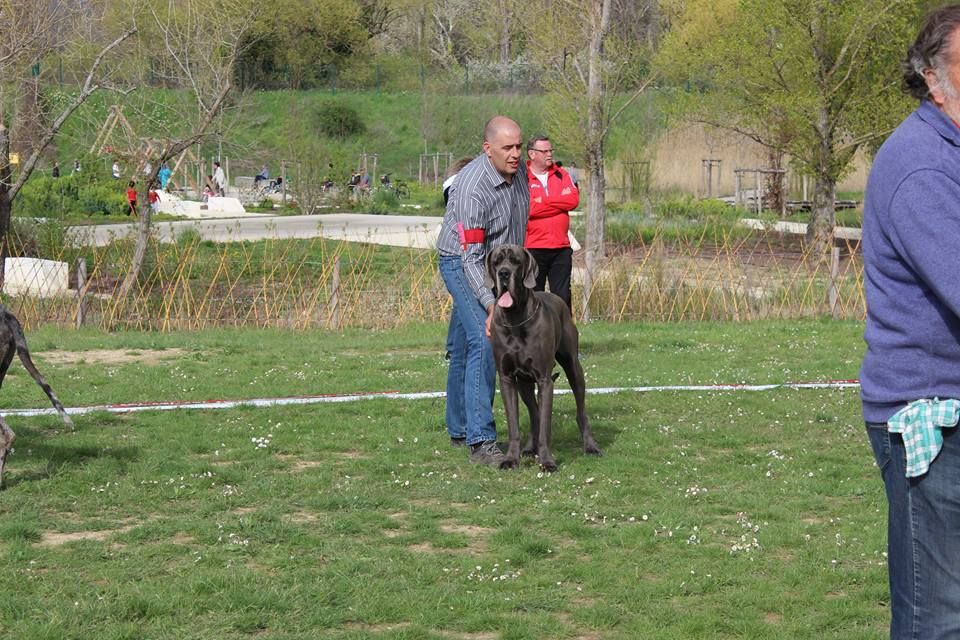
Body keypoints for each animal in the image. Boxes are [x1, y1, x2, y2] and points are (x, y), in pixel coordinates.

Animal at [484, 244, 601, 471]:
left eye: (516, 261)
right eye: (496, 262)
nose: (504, 273)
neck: (516, 318)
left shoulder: (545, 379)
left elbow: (546, 425)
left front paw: (547, 461)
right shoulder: (507, 379)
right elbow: (514, 425)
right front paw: (511, 459)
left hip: (573, 367)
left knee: (580, 411)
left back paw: (591, 446)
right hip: (524, 383)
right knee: (534, 413)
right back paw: (530, 447)